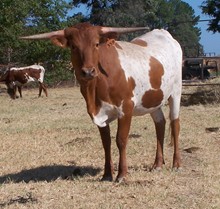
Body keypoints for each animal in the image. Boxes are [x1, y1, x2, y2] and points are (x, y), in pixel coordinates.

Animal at [20, 22, 182, 182]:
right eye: (73, 46)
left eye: (96, 44)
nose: (88, 72)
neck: (95, 89)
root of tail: (164, 33)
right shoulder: (99, 114)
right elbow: (106, 142)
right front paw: (107, 175)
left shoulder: (126, 108)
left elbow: (121, 140)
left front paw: (122, 174)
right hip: (153, 100)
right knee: (160, 124)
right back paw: (158, 164)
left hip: (176, 92)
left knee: (175, 125)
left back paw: (176, 164)